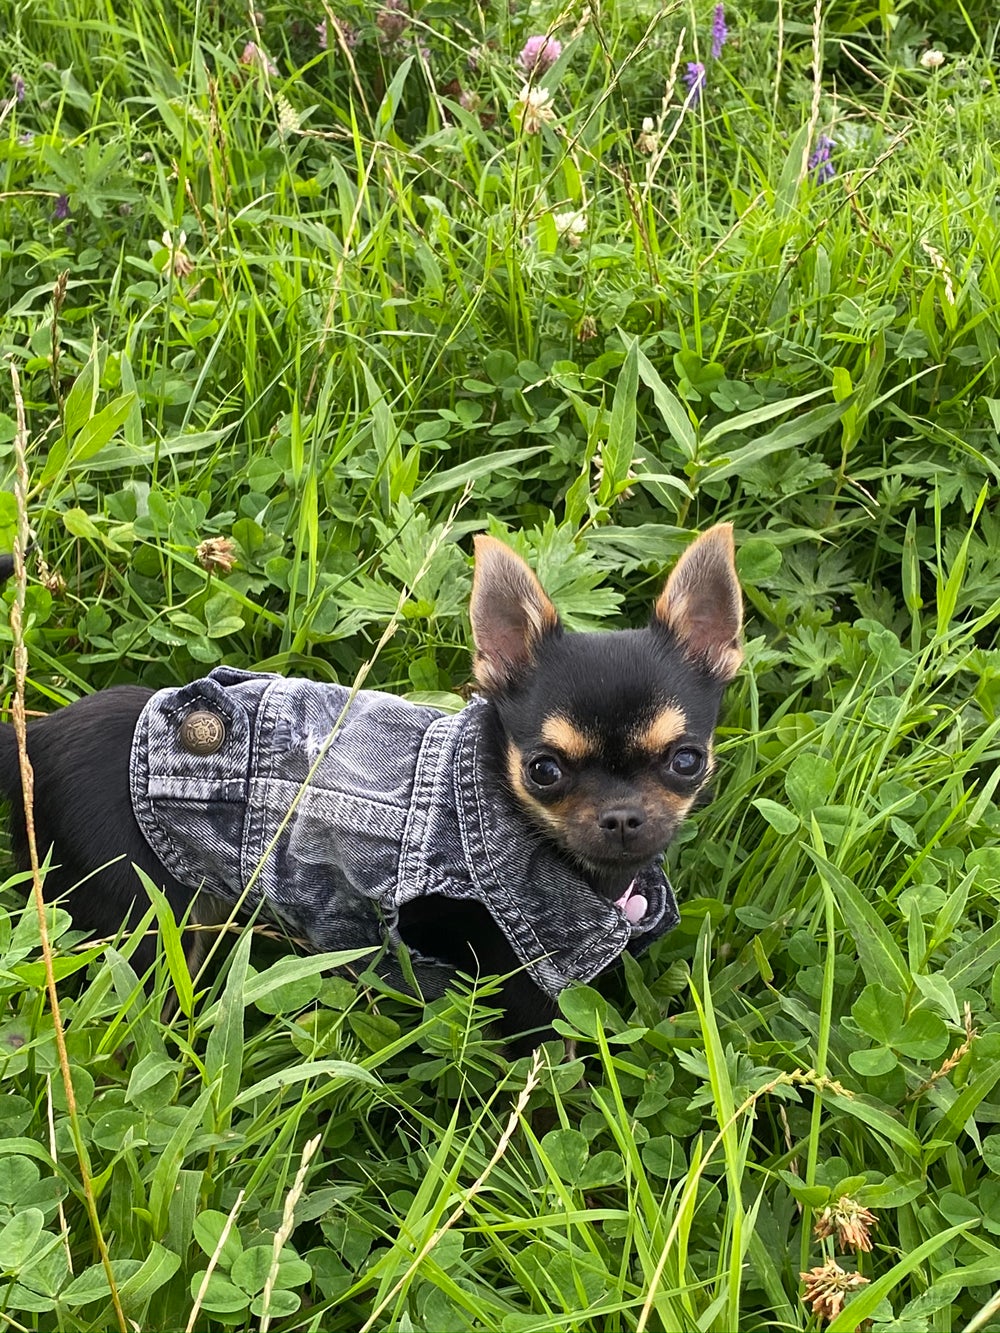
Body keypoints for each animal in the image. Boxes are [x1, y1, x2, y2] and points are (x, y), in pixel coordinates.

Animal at [0, 525, 741, 1045]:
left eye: (685, 760)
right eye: (544, 769)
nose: (621, 816)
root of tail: (32, 739)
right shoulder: (527, 989)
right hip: (145, 920)